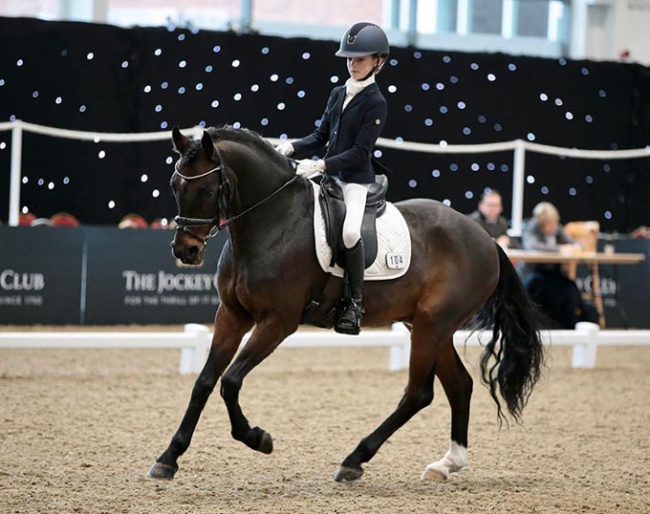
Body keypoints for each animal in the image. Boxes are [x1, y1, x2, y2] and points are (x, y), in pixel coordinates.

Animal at [147, 125, 544, 483]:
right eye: (175, 185)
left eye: (207, 188)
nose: (185, 251)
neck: (271, 221)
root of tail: (486, 239)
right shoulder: (232, 315)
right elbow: (204, 381)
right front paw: (168, 458)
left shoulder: (278, 322)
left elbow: (230, 381)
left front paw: (259, 438)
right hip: (430, 326)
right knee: (459, 385)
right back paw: (445, 464)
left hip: (433, 326)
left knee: (418, 393)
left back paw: (354, 461)